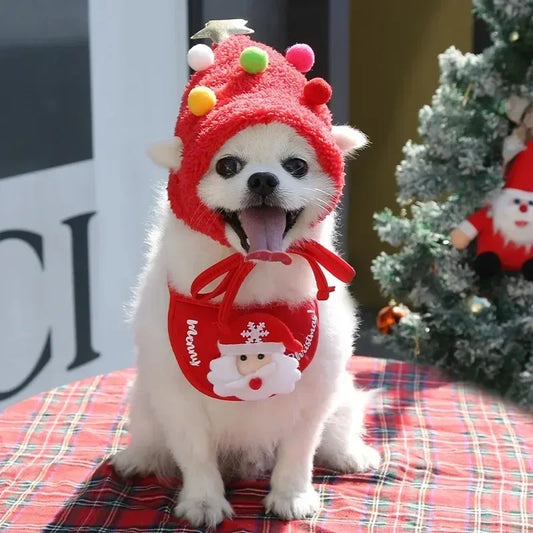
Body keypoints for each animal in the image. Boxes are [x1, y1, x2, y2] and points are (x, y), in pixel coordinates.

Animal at [112, 29, 380, 528]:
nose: (262, 180)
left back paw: (351, 453)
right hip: (146, 404)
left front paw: (292, 495)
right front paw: (203, 502)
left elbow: (299, 451)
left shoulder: (313, 388)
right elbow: (195, 455)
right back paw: (137, 457)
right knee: (154, 439)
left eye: (296, 166)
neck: (252, 280)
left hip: (342, 397)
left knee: (337, 430)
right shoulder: (177, 394)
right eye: (228, 166)